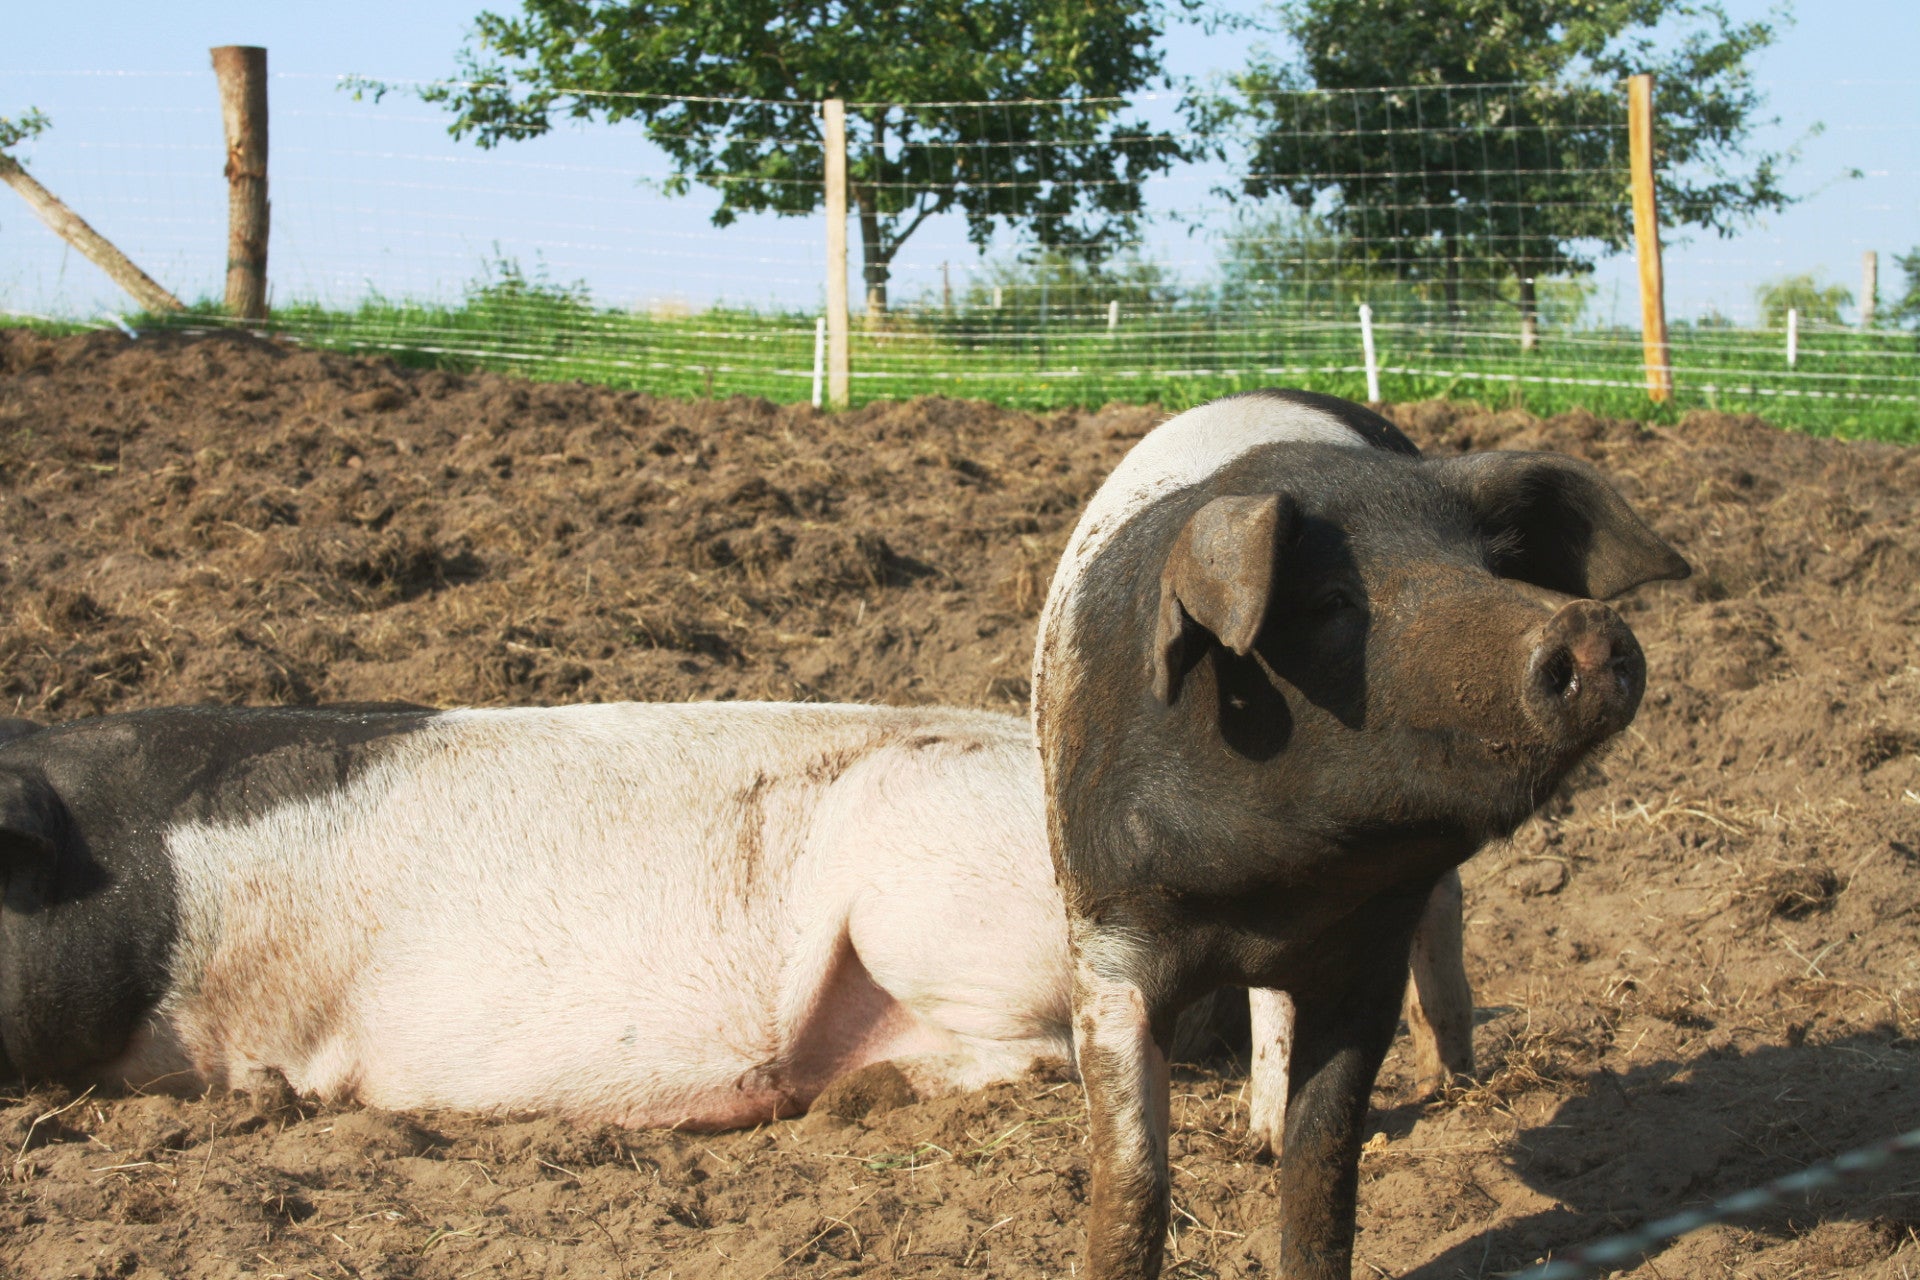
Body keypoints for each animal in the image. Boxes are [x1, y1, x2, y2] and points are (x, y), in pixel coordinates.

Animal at [1029, 391, 1689, 1280]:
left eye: (1492, 567)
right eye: (1334, 601)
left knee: (1442, 918)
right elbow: (1133, 1179)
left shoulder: (1368, 954)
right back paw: (1262, 1133)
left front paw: (1310, 1156)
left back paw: (1449, 1082)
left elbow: (1326, 1162)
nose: (1585, 623)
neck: (1274, 888)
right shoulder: (1109, 942)